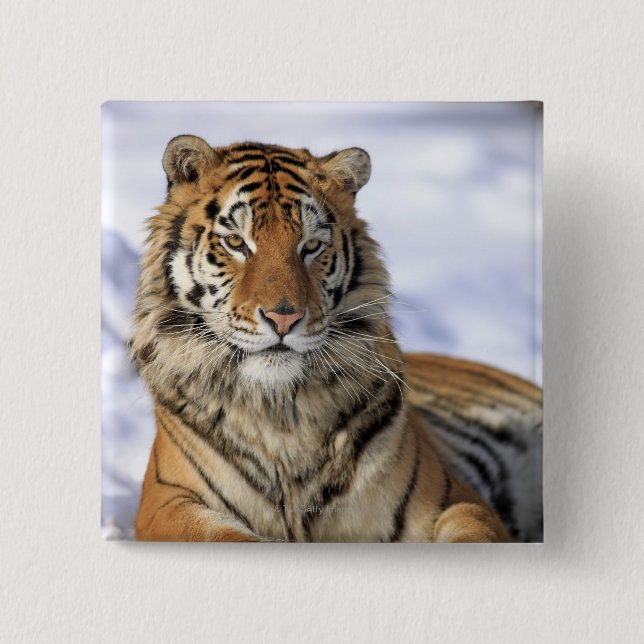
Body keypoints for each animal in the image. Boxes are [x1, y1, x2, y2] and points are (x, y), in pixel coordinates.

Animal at [130, 135, 543, 543]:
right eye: (236, 242)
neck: (281, 413)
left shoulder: (453, 497)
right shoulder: (167, 503)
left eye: (311, 246)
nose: (284, 317)